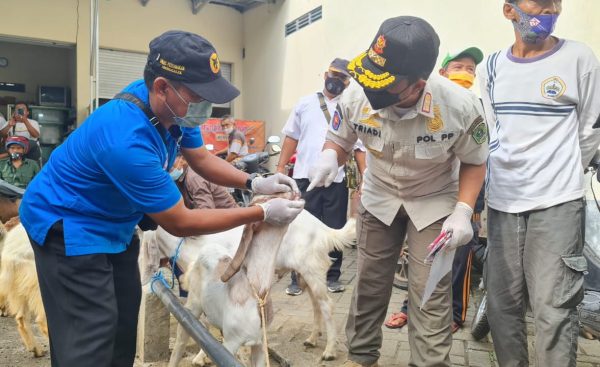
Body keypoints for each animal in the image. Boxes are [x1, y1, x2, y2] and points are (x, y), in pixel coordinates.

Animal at [149, 210, 356, 366]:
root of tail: (322, 228)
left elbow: (205, 323)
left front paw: (203, 356)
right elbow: (204, 323)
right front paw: (203, 355)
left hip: (311, 267)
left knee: (326, 304)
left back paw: (329, 351)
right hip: (305, 272)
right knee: (316, 303)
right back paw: (312, 339)